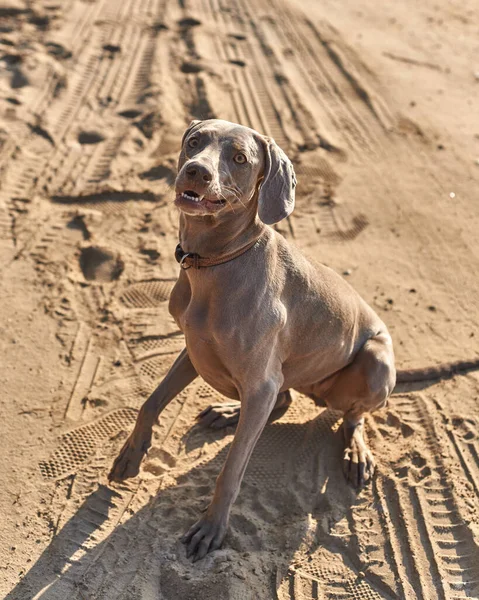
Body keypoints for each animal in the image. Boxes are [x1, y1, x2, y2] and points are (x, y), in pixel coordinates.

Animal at [109, 118, 479, 564]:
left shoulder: (260, 379)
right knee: (282, 400)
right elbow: (151, 401)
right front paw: (130, 456)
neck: (217, 260)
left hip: (373, 361)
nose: (197, 171)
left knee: (349, 417)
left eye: (240, 158)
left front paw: (212, 528)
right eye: (194, 142)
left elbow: (232, 469)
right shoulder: (193, 348)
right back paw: (229, 412)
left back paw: (356, 452)